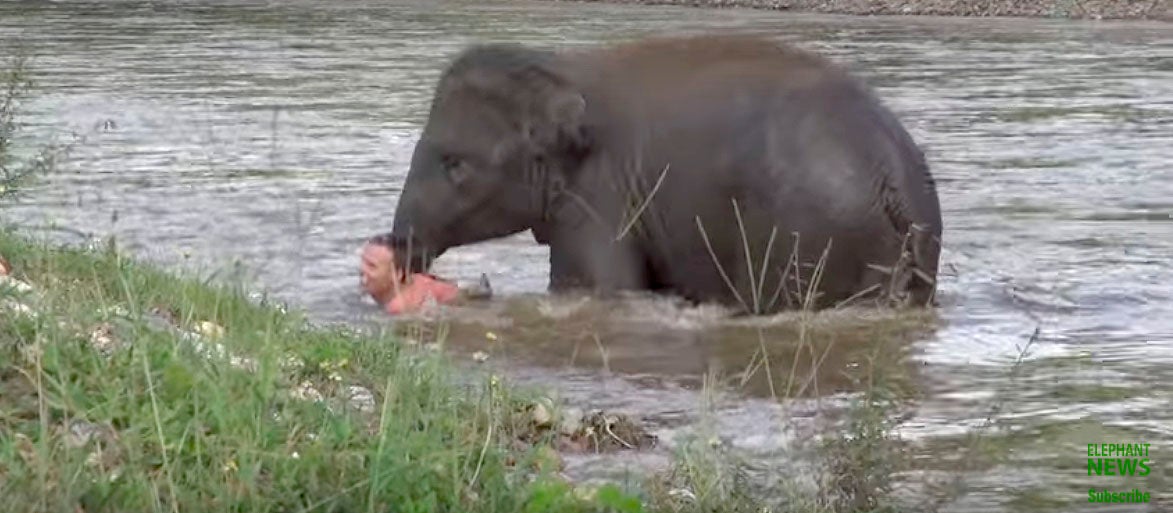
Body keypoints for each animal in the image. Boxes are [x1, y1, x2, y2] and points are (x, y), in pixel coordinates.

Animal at [380, 34, 942, 314]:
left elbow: (599, 288)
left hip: (809, 236)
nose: (392, 249)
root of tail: (896, 185)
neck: (561, 68)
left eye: (454, 164)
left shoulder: (600, 197)